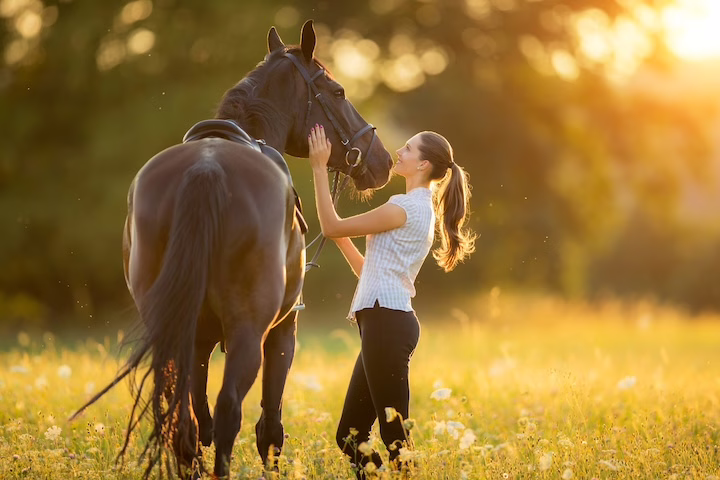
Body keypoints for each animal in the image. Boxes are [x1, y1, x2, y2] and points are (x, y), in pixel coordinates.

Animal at [71, 20, 393, 479]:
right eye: (337, 92)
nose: (381, 161)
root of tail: (206, 169)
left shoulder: (199, 341)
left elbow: (197, 417)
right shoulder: (283, 331)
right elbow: (269, 428)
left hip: (173, 332)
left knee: (184, 423)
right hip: (247, 335)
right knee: (228, 415)